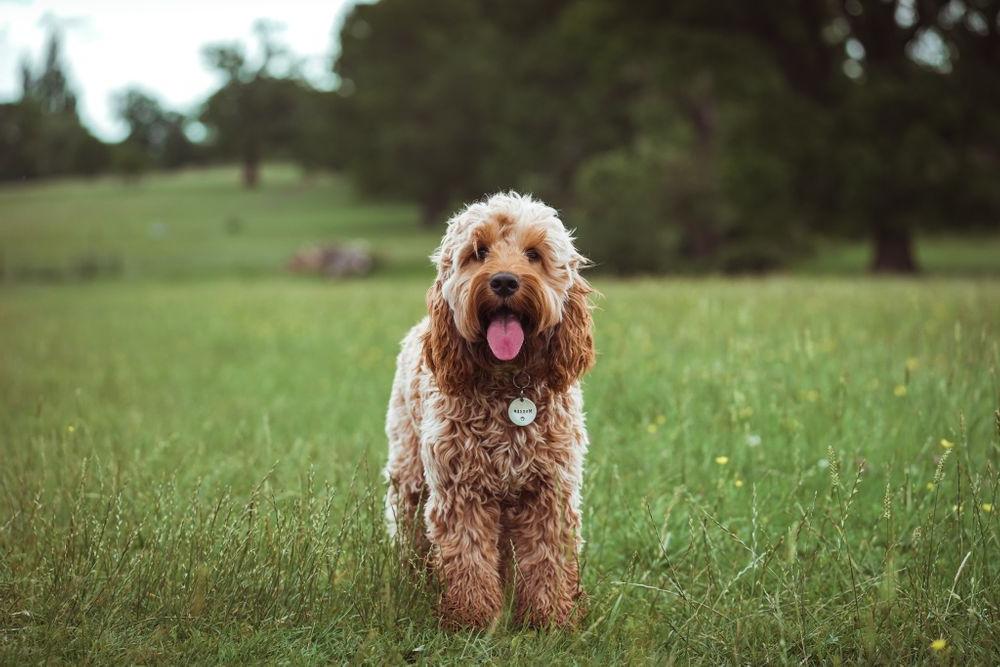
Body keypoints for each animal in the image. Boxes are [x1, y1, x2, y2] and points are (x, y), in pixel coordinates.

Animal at [378, 190, 588, 628]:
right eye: (479, 252)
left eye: (533, 254)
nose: (504, 281)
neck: (510, 385)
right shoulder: (461, 490)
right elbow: (468, 557)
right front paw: (473, 620)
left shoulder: (550, 490)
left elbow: (549, 558)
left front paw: (550, 619)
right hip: (410, 473)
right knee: (409, 528)